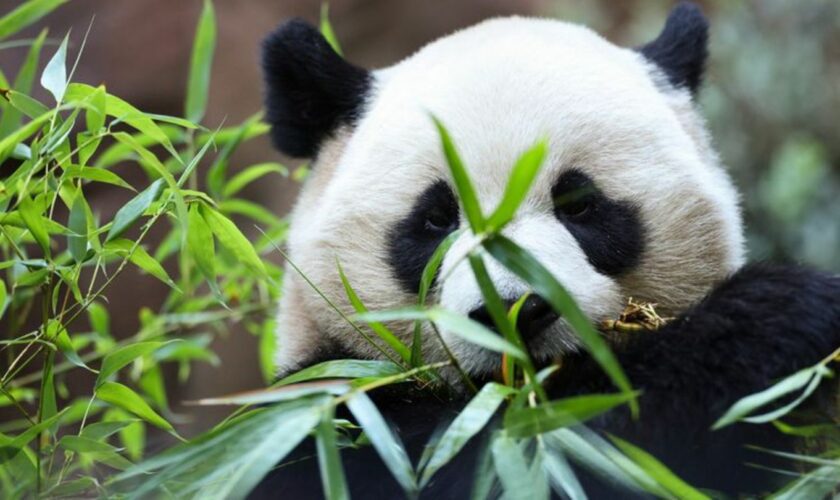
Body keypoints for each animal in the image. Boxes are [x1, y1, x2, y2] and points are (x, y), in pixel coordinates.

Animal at [254, 2, 840, 496]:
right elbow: (545, 444)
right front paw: (779, 316)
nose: (515, 309)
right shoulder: (322, 416)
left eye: (577, 203)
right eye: (436, 219)